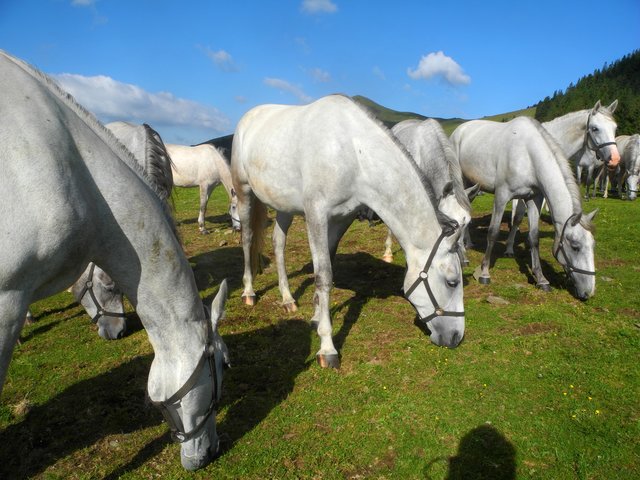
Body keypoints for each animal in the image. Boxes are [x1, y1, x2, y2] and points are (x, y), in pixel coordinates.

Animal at [232, 96, 468, 368]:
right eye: (452, 282)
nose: (456, 337)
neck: (354, 155)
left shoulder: (341, 219)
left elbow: (326, 266)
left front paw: (316, 316)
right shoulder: (317, 216)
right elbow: (324, 275)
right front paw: (327, 347)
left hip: (284, 206)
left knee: (278, 243)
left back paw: (288, 299)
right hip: (244, 192)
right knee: (247, 239)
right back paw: (249, 292)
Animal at [452, 115, 596, 300]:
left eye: (593, 245)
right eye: (575, 246)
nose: (589, 291)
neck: (528, 155)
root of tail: (459, 130)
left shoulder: (534, 199)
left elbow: (534, 238)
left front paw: (541, 279)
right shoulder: (501, 196)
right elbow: (493, 233)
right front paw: (484, 273)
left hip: (473, 185)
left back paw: (467, 244)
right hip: (461, 182)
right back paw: (463, 256)